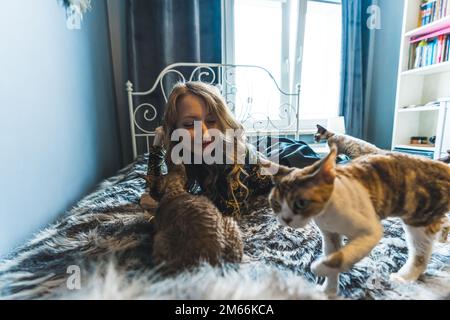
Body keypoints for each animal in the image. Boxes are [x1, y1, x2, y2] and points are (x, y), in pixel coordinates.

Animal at [268, 146, 450, 296]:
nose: (286, 219)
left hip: (418, 219)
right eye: (276, 203)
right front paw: (329, 291)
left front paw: (318, 268)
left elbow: (343, 255)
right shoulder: (330, 235)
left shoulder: (371, 232)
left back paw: (404, 277)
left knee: (420, 255)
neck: (327, 214)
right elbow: (332, 256)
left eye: (300, 203)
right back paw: (443, 237)